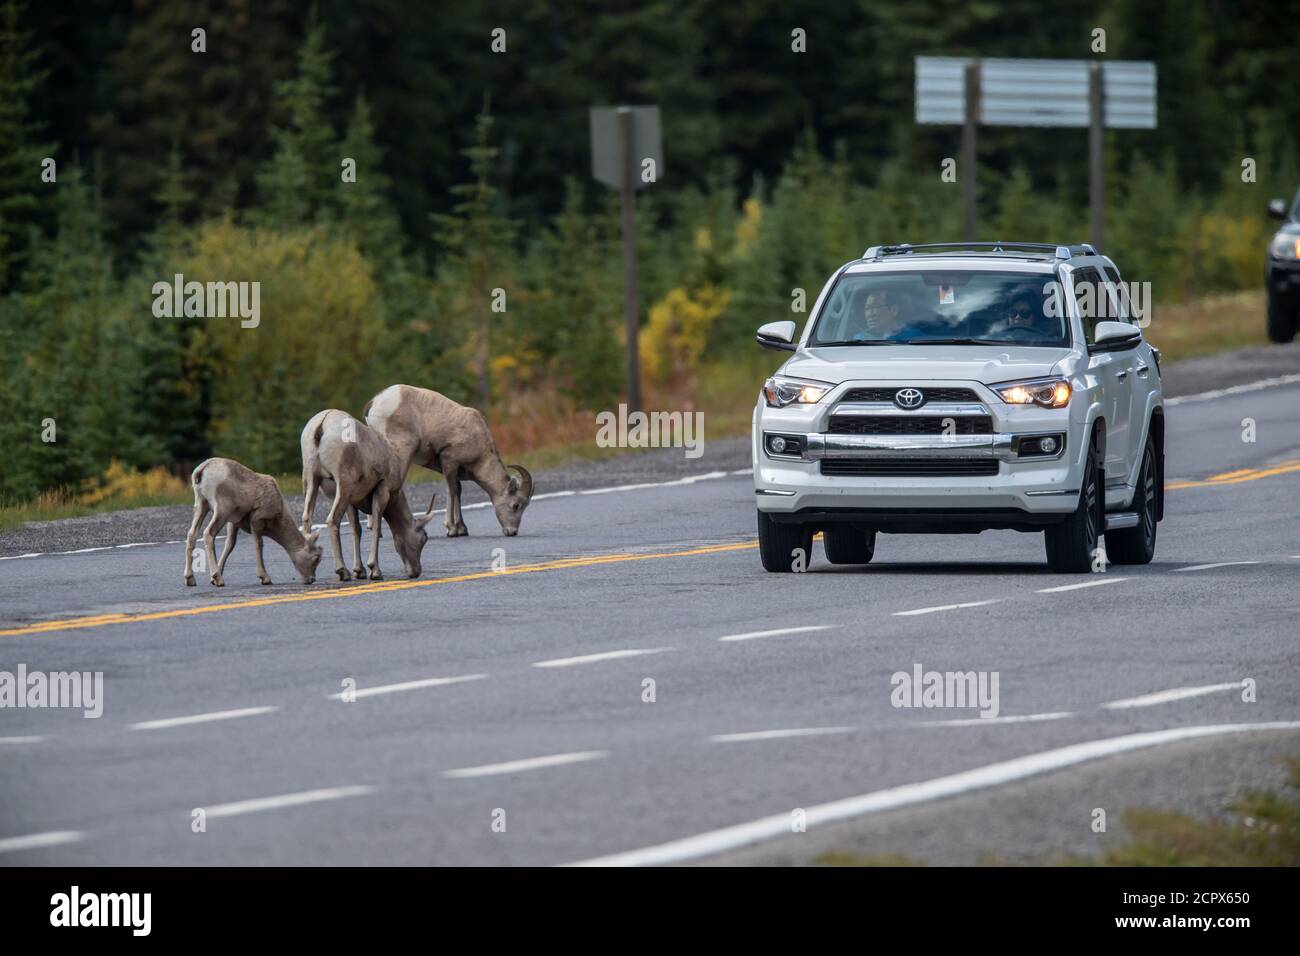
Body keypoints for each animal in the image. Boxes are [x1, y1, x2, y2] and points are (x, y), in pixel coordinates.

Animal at [183, 457, 322, 587]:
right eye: (316, 558)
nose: (311, 579)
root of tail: (201, 470)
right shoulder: (257, 520)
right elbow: (258, 545)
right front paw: (265, 578)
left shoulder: (233, 522)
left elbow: (230, 545)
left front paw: (213, 579)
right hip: (222, 510)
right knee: (208, 534)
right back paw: (218, 578)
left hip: (202, 505)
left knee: (192, 534)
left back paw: (190, 579)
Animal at [297, 408, 431, 580]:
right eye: (423, 538)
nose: (415, 572)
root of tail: (321, 425)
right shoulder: (382, 490)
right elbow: (376, 527)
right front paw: (374, 570)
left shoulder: (351, 502)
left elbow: (356, 529)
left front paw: (359, 571)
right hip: (343, 484)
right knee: (332, 520)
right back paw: (342, 571)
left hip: (311, 479)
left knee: (307, 518)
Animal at [366, 387, 533, 538]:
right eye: (516, 505)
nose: (512, 532)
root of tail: (375, 402)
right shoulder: (449, 461)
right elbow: (452, 491)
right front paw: (452, 530)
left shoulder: (454, 469)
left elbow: (457, 491)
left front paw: (462, 530)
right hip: (401, 453)